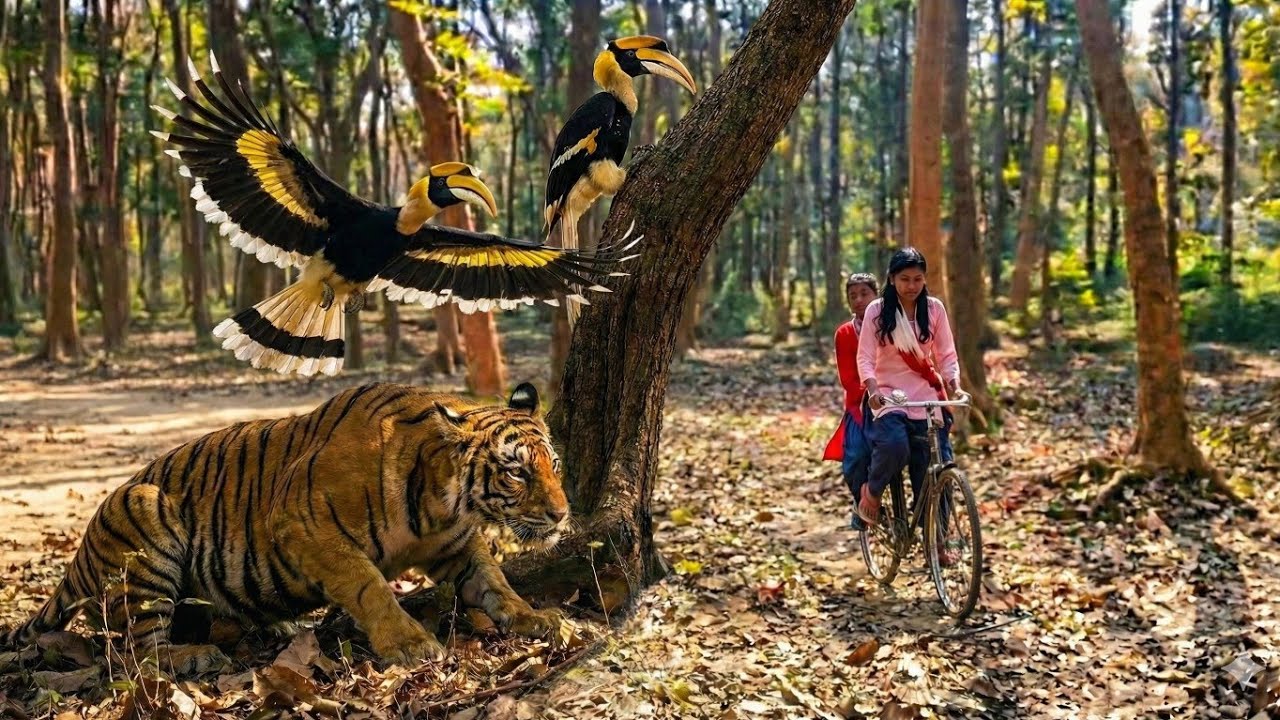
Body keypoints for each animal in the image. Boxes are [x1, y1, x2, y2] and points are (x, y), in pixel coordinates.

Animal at [3, 382, 569, 675]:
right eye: (517, 471)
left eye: (555, 465)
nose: (563, 514)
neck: (443, 500)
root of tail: (80, 553)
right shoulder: (303, 526)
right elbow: (369, 586)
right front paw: (409, 643)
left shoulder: (456, 546)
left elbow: (495, 582)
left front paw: (539, 619)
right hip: (144, 517)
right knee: (136, 649)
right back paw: (194, 656)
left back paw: (272, 627)